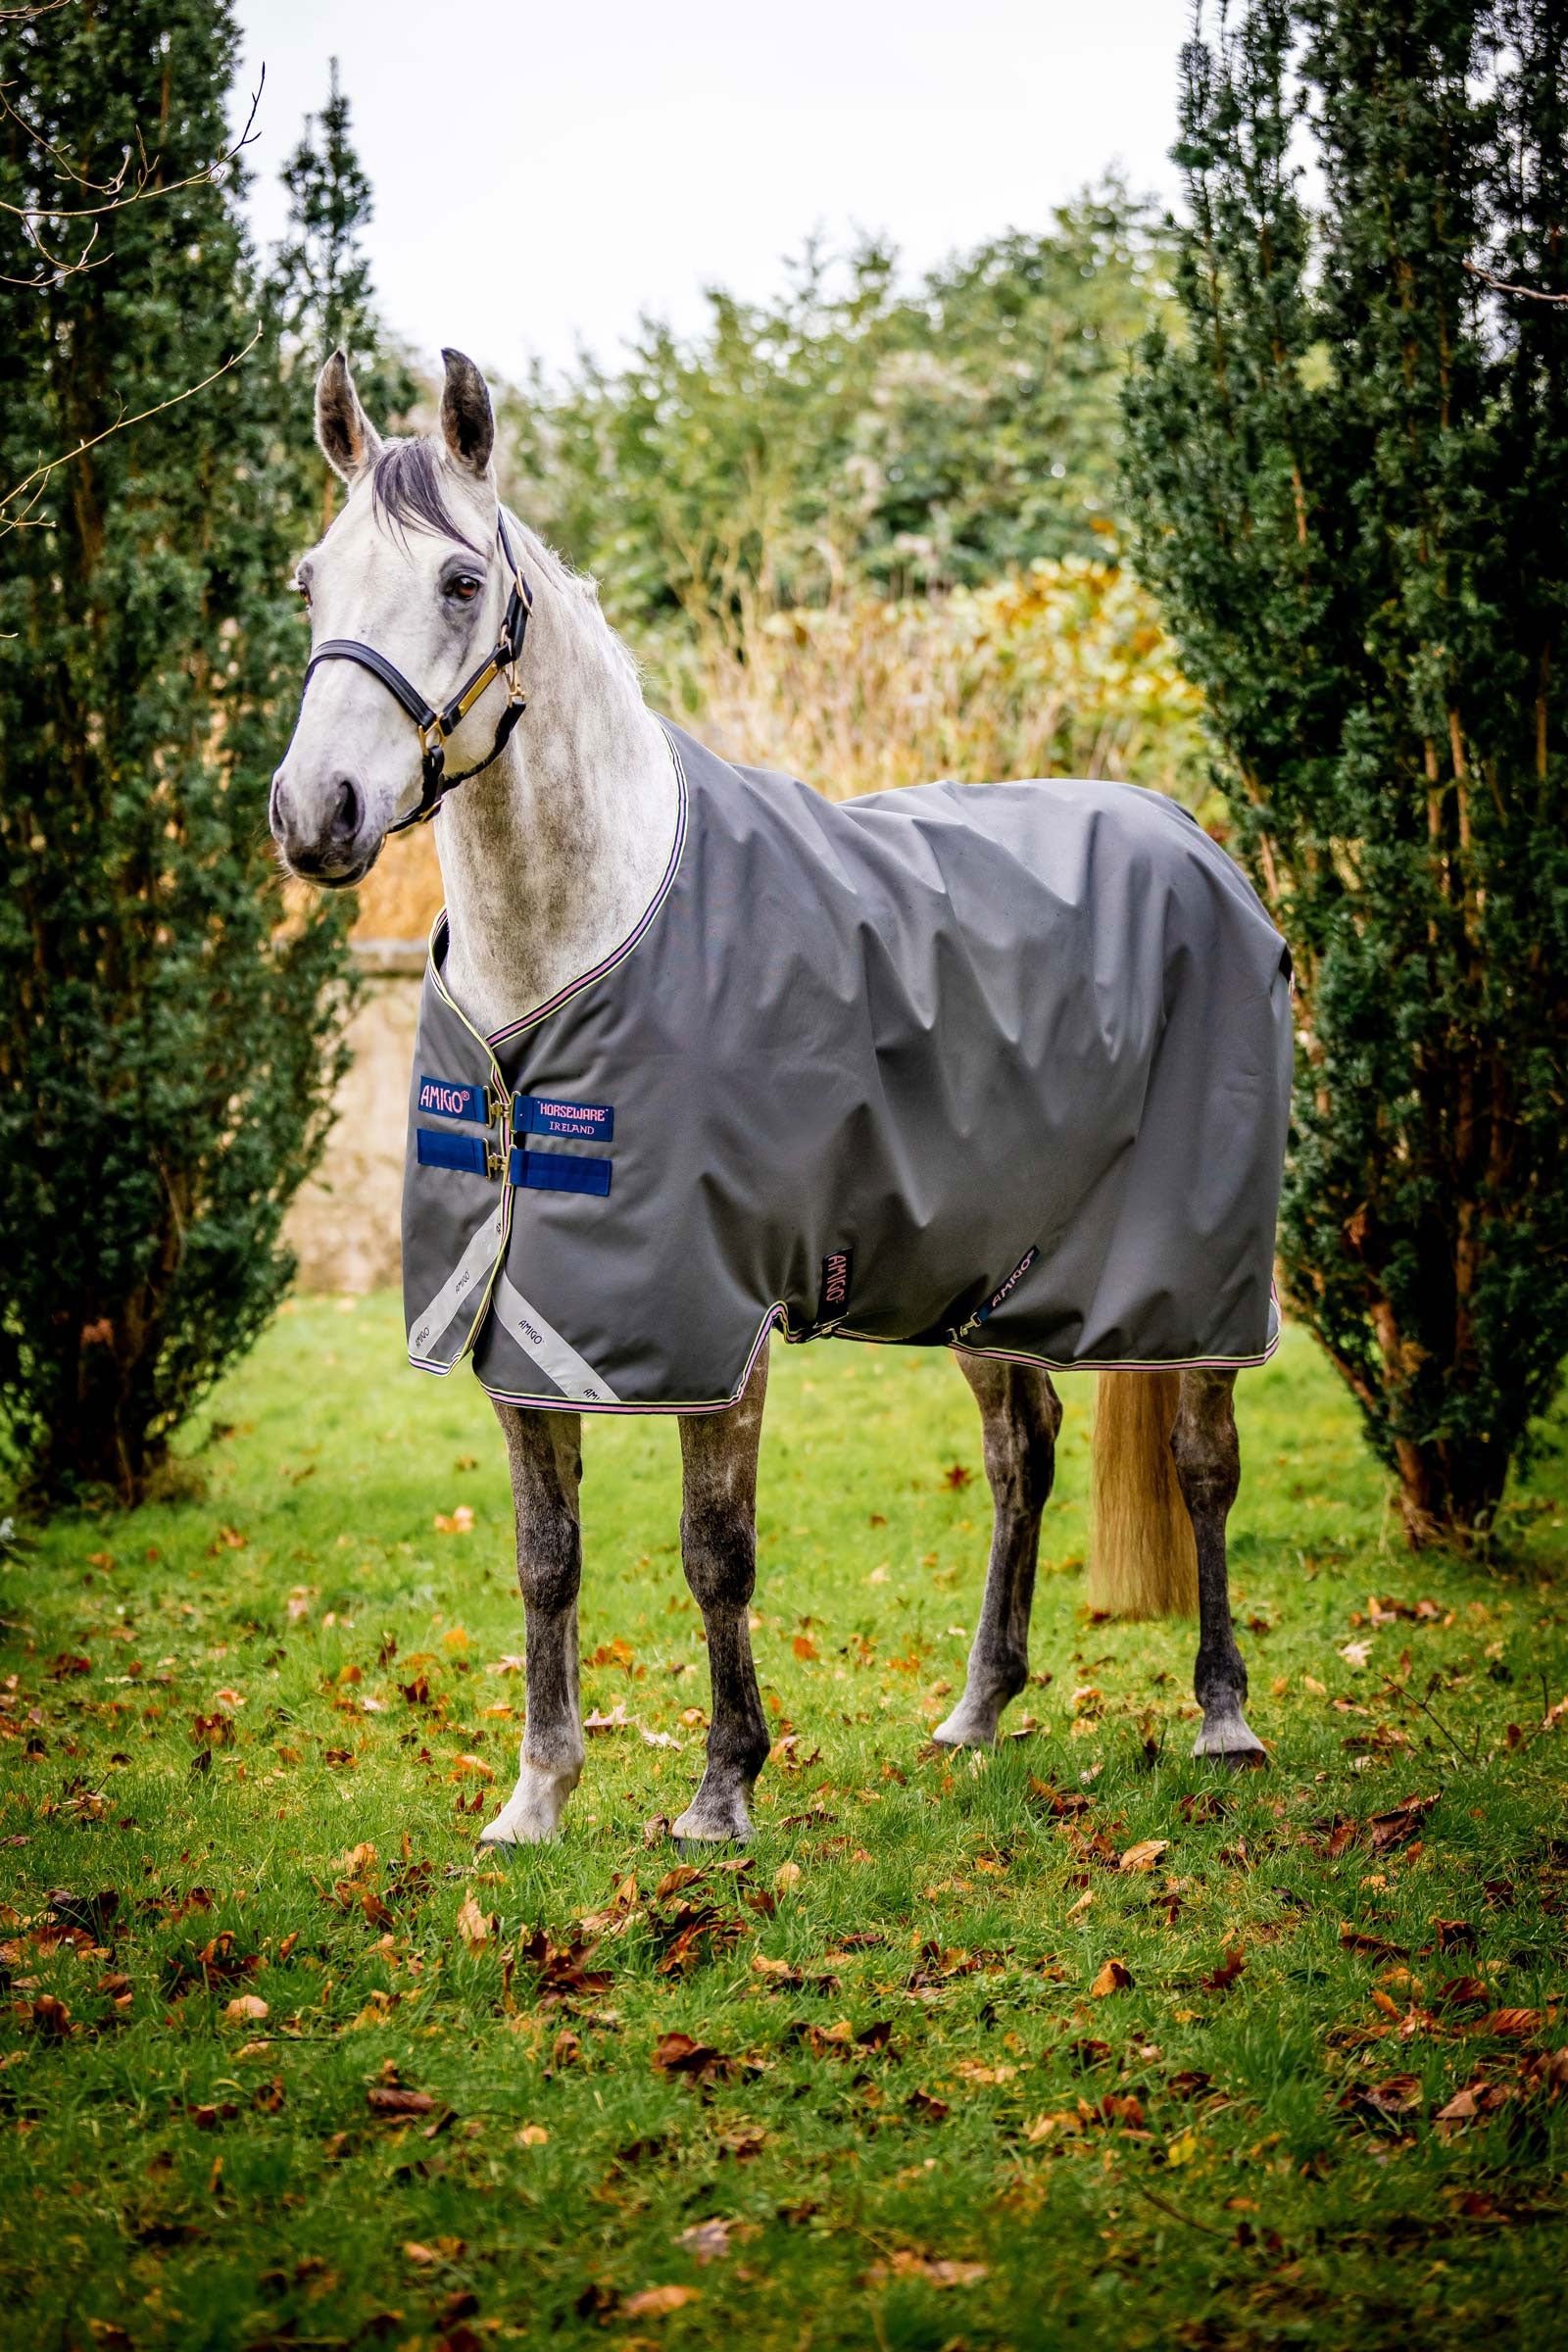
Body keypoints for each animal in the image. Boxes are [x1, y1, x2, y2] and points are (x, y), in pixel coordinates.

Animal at [269, 347, 1293, 1848]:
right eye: (308, 583)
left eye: (460, 582)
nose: (316, 813)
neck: (583, 941)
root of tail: (1194, 845)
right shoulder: (517, 1325)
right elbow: (544, 1559)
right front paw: (537, 1799)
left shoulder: (718, 1324)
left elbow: (715, 1553)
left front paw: (721, 1790)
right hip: (991, 1276)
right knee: (1022, 1457)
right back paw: (977, 1711)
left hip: (1192, 1279)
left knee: (1204, 1459)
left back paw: (1223, 1719)